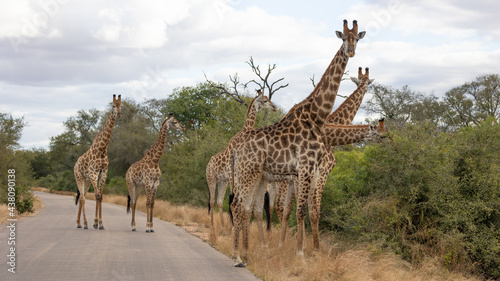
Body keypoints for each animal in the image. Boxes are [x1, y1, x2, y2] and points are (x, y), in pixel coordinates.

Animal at [73, 93, 121, 229]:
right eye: (113, 105)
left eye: (121, 105)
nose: (119, 114)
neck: (103, 149)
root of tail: (75, 164)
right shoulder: (94, 173)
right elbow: (97, 195)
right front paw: (95, 222)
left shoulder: (103, 173)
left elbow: (100, 196)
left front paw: (100, 223)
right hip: (79, 177)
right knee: (82, 198)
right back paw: (84, 223)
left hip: (87, 180)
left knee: (82, 196)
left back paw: (78, 223)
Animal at [206, 90, 278, 236]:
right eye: (265, 100)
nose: (274, 107)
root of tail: (208, 165)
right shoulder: (233, 173)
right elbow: (234, 199)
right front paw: (236, 227)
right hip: (211, 178)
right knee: (212, 201)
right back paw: (213, 226)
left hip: (222, 181)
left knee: (219, 201)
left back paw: (223, 227)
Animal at [229, 20, 366, 264]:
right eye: (343, 38)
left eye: (357, 39)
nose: (351, 51)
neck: (317, 116)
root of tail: (235, 149)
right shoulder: (308, 168)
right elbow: (302, 210)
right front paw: (301, 254)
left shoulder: (307, 171)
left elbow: (304, 210)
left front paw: (306, 251)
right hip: (248, 174)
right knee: (238, 205)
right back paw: (237, 256)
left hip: (255, 176)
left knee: (247, 207)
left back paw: (247, 252)